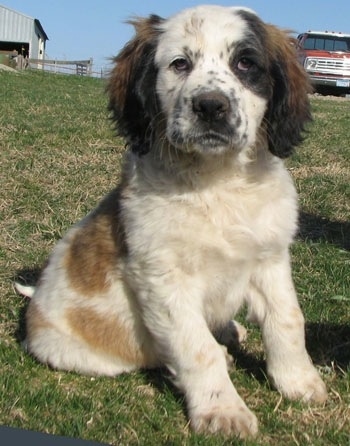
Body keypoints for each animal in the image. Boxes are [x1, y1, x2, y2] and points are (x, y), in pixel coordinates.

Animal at [17, 5, 326, 438]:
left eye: (245, 63)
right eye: (180, 64)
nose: (211, 106)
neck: (216, 182)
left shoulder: (270, 258)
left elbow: (287, 320)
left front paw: (298, 381)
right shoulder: (163, 278)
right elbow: (197, 348)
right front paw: (222, 409)